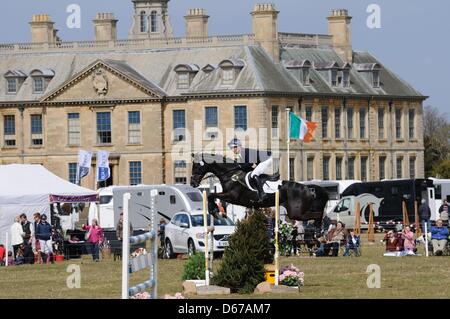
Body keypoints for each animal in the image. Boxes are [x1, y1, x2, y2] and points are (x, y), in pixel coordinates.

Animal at [191, 153, 330, 226]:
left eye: (197, 166)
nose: (192, 183)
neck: (231, 175)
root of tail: (308, 188)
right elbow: (213, 196)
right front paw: (217, 211)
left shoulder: (232, 196)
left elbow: (212, 195)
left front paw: (214, 211)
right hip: (295, 212)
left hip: (296, 212)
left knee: (317, 214)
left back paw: (319, 227)